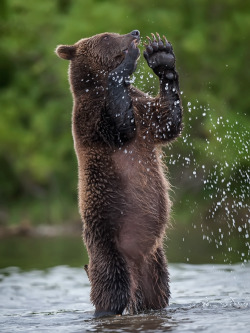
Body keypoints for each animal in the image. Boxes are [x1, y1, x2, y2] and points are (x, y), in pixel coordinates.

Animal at [55, 30, 183, 316]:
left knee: (158, 293)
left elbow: (167, 121)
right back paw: (105, 308)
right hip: (107, 244)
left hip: (156, 264)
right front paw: (130, 59)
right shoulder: (91, 118)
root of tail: (136, 261)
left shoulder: (143, 109)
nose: (134, 33)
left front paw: (161, 56)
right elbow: (118, 127)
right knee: (111, 288)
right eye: (106, 36)